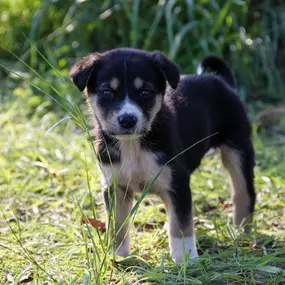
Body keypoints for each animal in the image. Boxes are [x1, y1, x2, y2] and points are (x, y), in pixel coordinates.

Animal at [69, 48, 255, 264]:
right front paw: (118, 255)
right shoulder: (116, 185)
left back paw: (241, 233)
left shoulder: (177, 184)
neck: (134, 145)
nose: (128, 120)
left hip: (238, 148)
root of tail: (222, 81)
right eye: (107, 92)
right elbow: (118, 225)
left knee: (243, 191)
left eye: (145, 92)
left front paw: (186, 259)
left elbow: (181, 226)